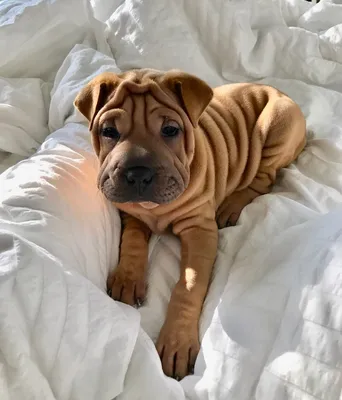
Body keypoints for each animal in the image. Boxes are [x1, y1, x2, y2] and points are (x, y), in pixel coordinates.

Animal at [74, 69, 304, 378]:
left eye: (171, 130)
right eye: (109, 131)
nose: (137, 174)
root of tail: (280, 92)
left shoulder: (200, 231)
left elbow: (189, 284)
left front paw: (177, 342)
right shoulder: (131, 213)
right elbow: (132, 241)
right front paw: (127, 278)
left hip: (276, 128)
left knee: (264, 179)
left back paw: (232, 205)